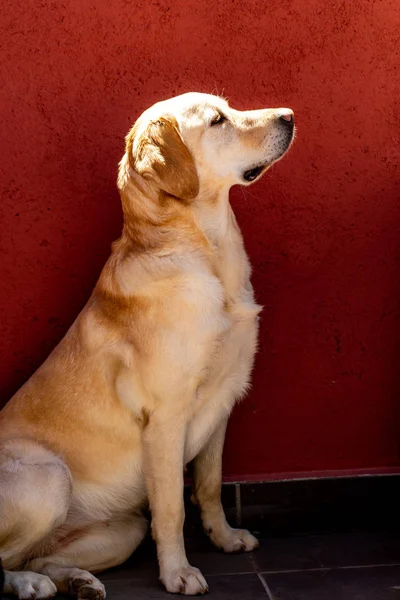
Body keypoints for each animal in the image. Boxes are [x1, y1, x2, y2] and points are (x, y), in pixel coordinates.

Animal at [0, 92, 294, 596]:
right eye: (218, 120)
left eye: (227, 107)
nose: (290, 117)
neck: (207, 256)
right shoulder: (166, 416)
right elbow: (172, 507)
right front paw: (178, 573)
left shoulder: (222, 403)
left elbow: (209, 485)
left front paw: (224, 538)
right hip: (50, 477)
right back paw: (27, 584)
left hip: (122, 530)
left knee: (39, 556)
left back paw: (76, 581)